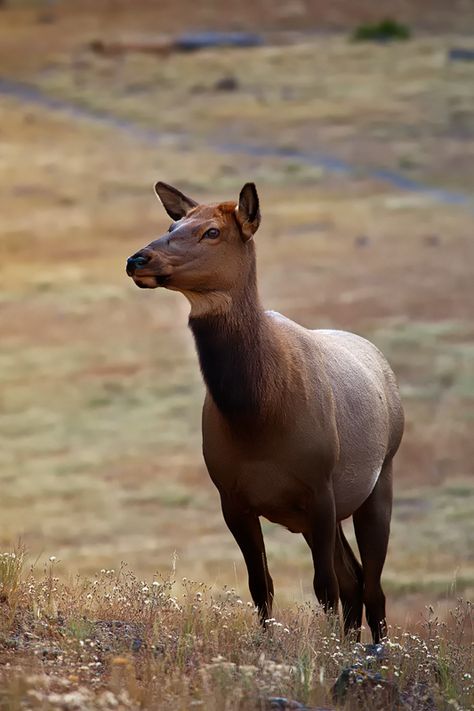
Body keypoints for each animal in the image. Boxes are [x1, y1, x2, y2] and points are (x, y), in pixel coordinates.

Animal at [126, 181, 404, 644]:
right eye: (171, 225)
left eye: (212, 232)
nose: (137, 259)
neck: (257, 419)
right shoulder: (232, 496)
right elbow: (261, 583)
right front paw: (269, 642)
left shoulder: (319, 488)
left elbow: (323, 586)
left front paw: (323, 651)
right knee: (355, 578)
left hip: (379, 477)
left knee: (371, 585)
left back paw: (378, 649)